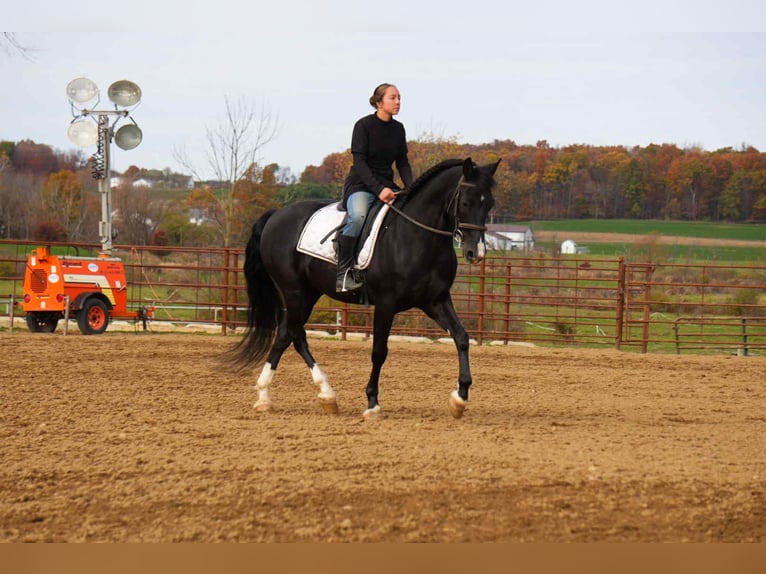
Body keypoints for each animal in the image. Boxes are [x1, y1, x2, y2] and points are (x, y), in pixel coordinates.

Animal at [230, 157, 500, 419]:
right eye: (465, 202)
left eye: (489, 204)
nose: (476, 253)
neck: (417, 237)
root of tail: (276, 215)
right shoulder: (386, 304)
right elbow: (379, 351)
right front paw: (372, 403)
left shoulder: (435, 300)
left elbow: (461, 337)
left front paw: (460, 397)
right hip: (294, 291)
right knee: (296, 335)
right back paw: (326, 393)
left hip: (308, 293)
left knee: (285, 335)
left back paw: (266, 396)